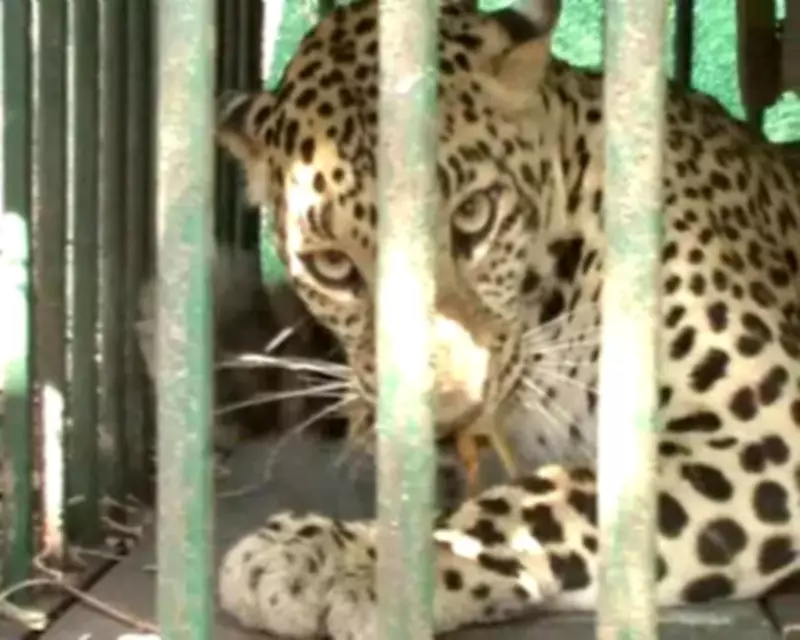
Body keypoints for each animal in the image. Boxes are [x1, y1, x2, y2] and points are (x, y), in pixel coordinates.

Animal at [213, 0, 800, 636]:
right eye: (332, 266)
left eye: (474, 214)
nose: (449, 419)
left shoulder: (764, 430)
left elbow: (543, 502)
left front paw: (359, 567)